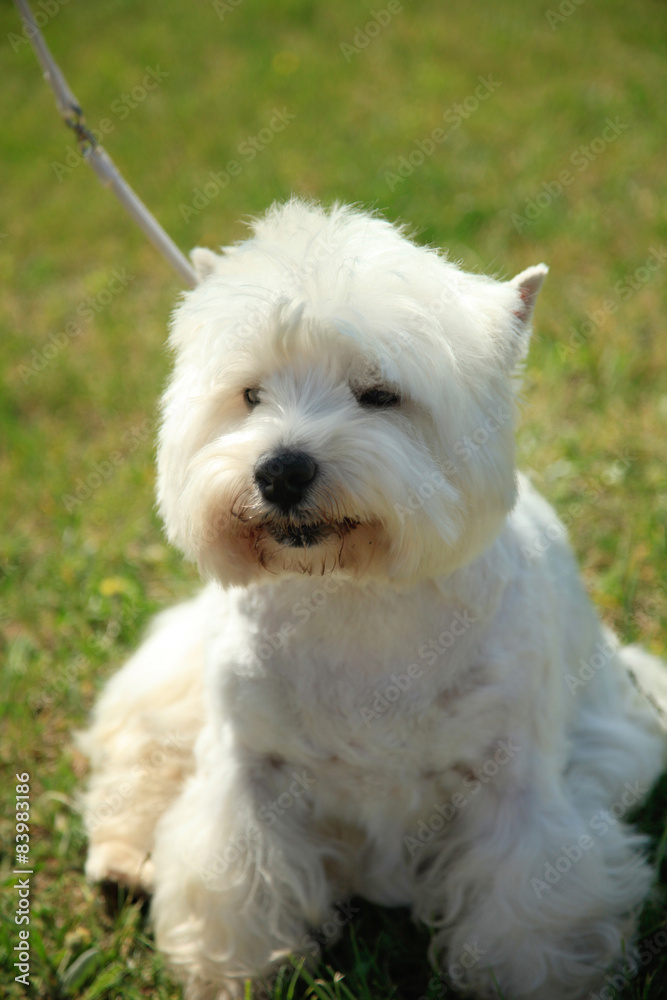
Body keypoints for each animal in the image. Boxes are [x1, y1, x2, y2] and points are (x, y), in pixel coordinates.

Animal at [81, 199, 667, 996]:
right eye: (250, 395)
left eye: (380, 395)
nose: (280, 471)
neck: (352, 595)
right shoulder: (249, 770)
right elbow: (231, 875)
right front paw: (231, 973)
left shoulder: (514, 781)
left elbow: (527, 902)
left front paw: (535, 978)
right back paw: (122, 861)